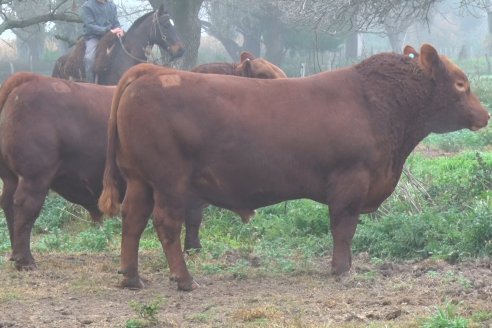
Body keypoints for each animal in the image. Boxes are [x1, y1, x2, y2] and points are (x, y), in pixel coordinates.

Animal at [99, 43, 488, 290]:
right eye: (461, 84)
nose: (484, 115)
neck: (375, 102)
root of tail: (151, 72)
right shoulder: (350, 180)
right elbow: (343, 228)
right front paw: (342, 270)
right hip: (169, 182)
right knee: (166, 224)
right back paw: (185, 280)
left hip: (140, 181)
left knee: (132, 221)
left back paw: (131, 277)